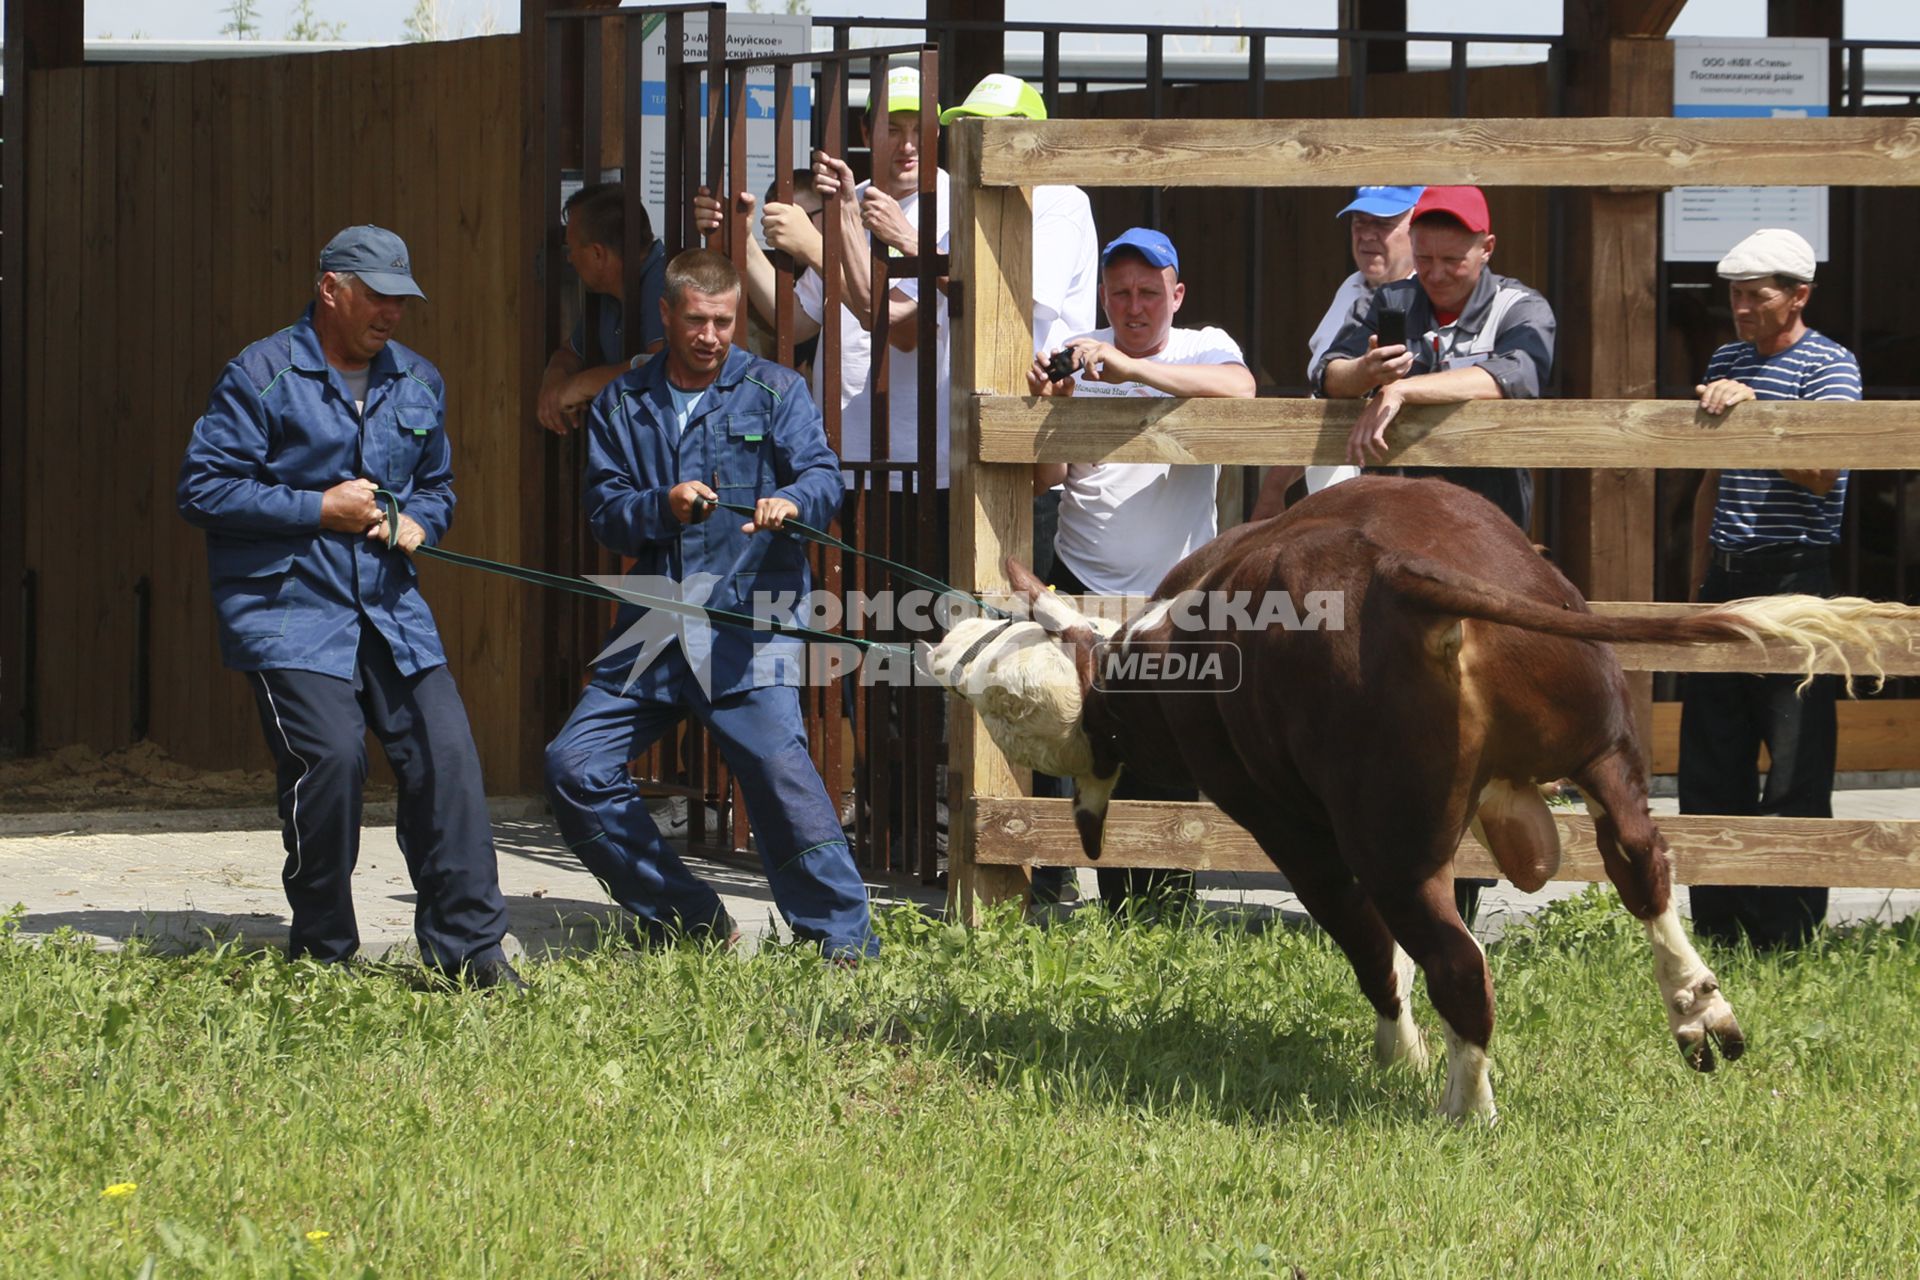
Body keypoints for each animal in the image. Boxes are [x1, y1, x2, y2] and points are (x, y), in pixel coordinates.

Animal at [921, 474, 1896, 1120]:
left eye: (1010, 709)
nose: (945, 651)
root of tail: (1401, 572)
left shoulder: (1283, 823)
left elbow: (1360, 939)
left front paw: (1399, 1053)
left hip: (1389, 840)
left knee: (1453, 958)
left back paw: (1465, 1105)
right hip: (1607, 749)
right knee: (1641, 865)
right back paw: (1699, 1013)